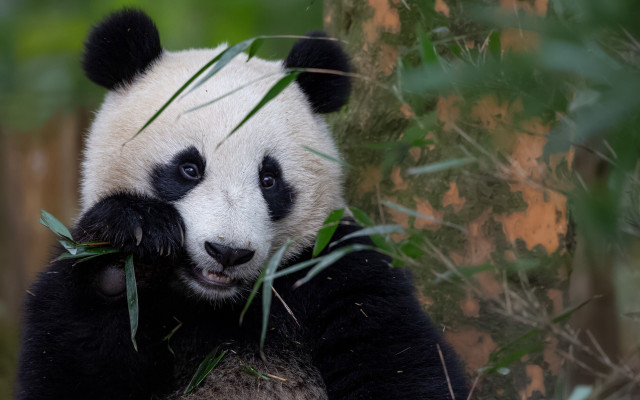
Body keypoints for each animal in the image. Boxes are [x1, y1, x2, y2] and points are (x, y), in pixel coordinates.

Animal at [15, 9, 468, 400]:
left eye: (269, 179)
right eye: (189, 168)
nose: (227, 252)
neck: (217, 301)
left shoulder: (338, 272)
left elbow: (403, 365)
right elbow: (69, 368)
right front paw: (130, 250)